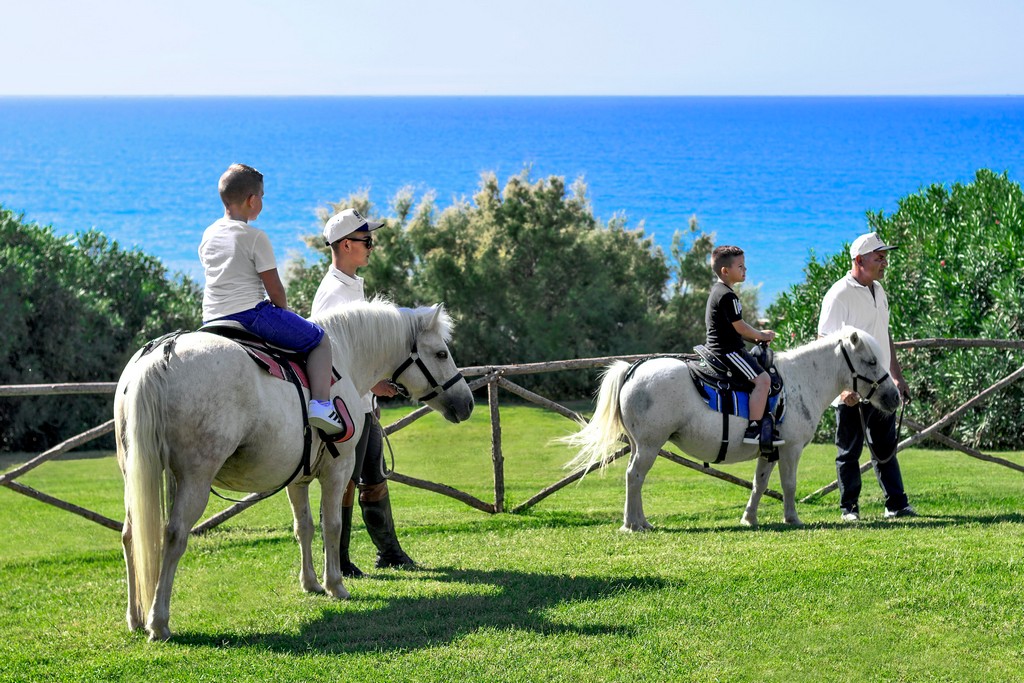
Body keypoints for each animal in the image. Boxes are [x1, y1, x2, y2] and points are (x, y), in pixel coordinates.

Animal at [114, 300, 474, 641]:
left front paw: (311, 583)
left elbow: (305, 527)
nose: (467, 403)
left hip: (134, 477)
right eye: (441, 353)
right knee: (173, 536)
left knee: (130, 535)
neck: (343, 357)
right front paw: (335, 584)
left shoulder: (297, 478)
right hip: (195, 480)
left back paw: (135, 617)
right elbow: (333, 525)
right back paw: (158, 622)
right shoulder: (338, 469)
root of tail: (161, 354)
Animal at [560, 327, 901, 532]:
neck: (800, 380)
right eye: (871, 361)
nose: (895, 396)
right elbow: (789, 485)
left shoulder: (770, 451)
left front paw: (749, 518)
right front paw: (792, 518)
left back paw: (640, 521)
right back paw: (633, 524)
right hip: (649, 445)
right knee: (634, 477)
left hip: (638, 445)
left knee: (635, 478)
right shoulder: (791, 449)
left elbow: (759, 485)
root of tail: (634, 369)